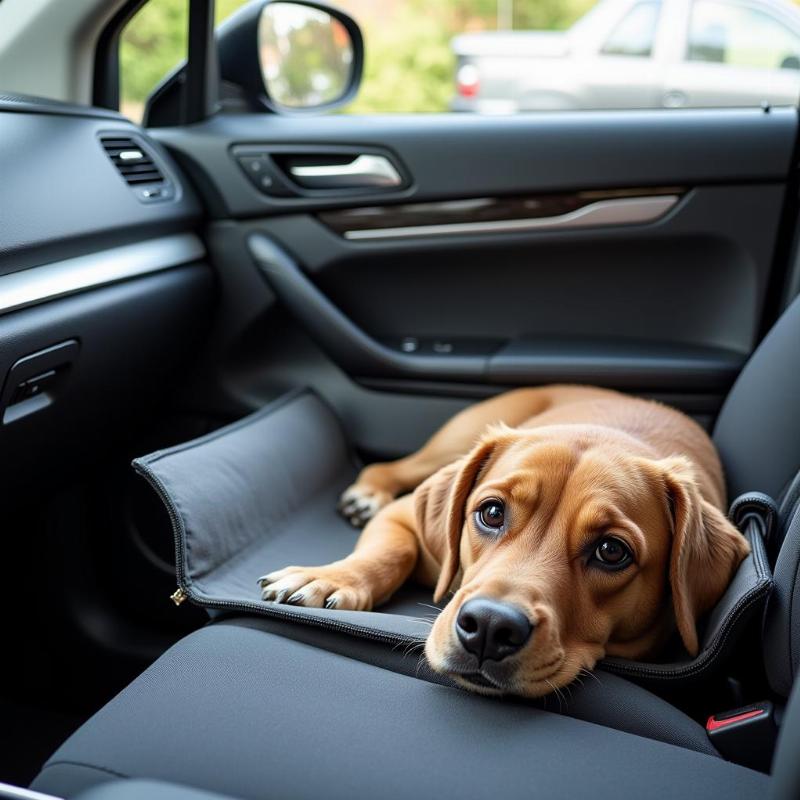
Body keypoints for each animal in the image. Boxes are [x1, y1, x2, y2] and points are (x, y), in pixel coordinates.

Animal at [260, 386, 752, 692]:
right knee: (392, 467)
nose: (489, 628)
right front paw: (330, 577)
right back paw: (368, 492)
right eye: (491, 512)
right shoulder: (403, 517)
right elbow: (390, 550)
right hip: (452, 443)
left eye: (612, 551)